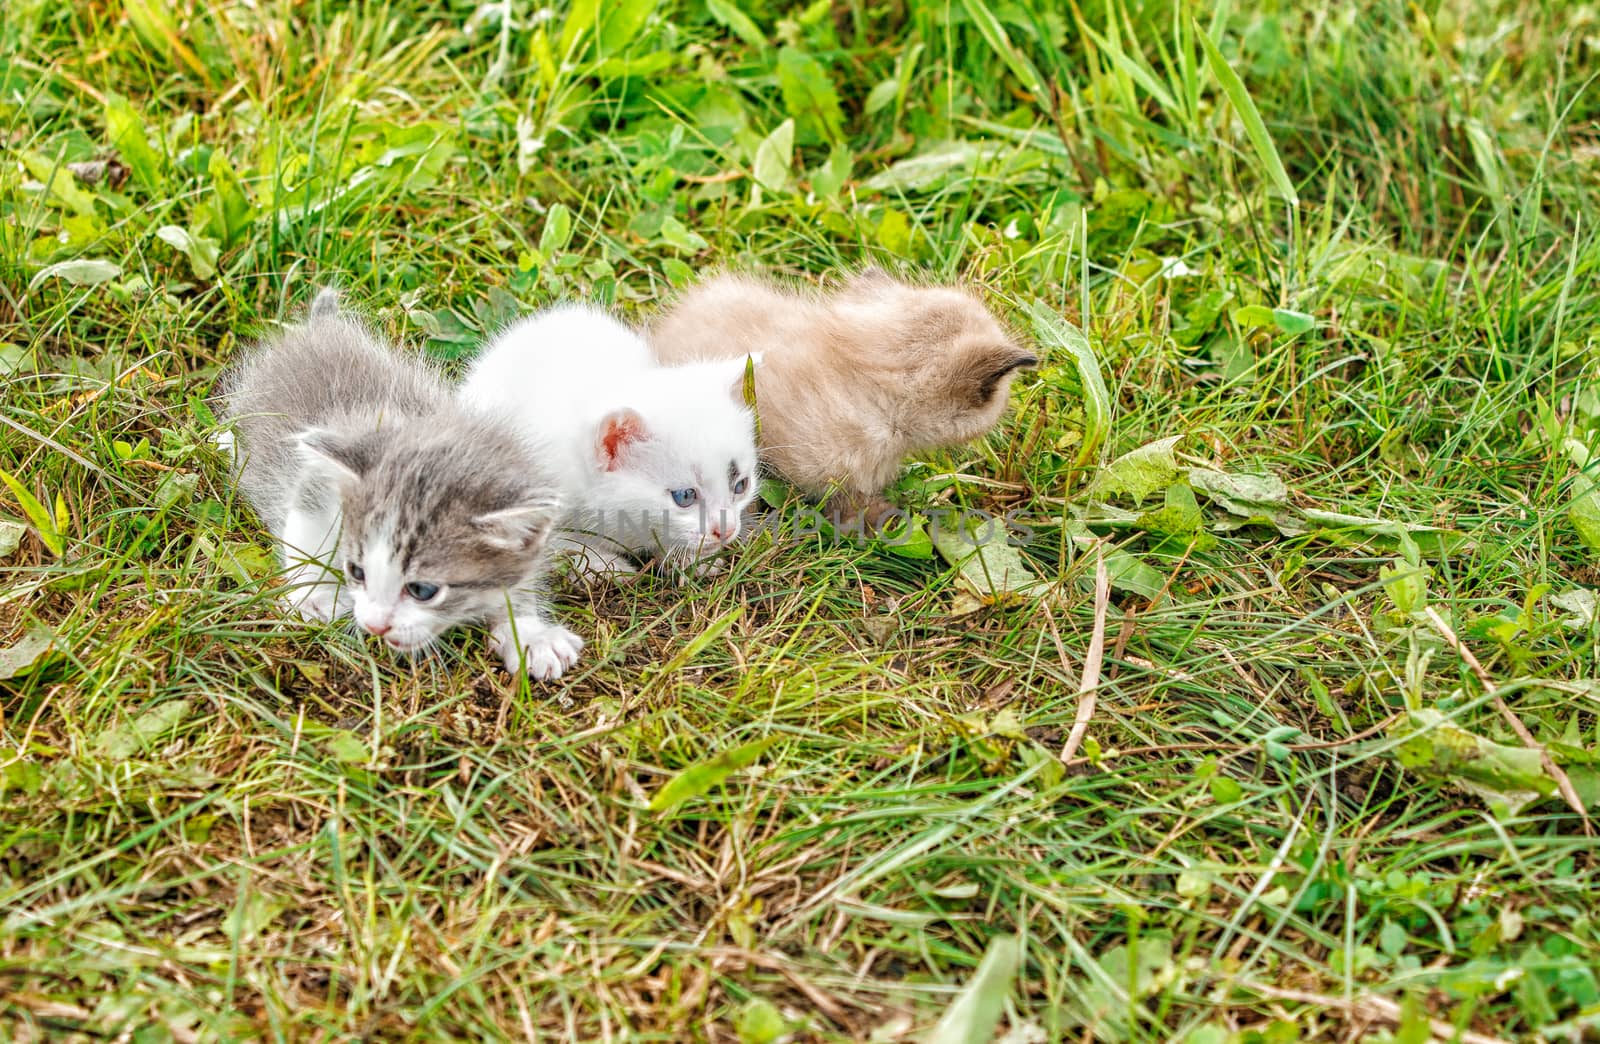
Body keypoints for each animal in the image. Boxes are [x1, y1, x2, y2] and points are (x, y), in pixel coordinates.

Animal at [217, 291, 582, 685]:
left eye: (423, 590)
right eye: (356, 571)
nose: (374, 625)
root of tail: (321, 326)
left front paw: (529, 632)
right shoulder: (319, 480)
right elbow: (305, 528)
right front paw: (312, 594)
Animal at [460, 305, 758, 576]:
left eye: (741, 485)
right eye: (684, 496)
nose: (727, 530)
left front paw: (688, 558)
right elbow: (559, 544)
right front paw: (601, 566)